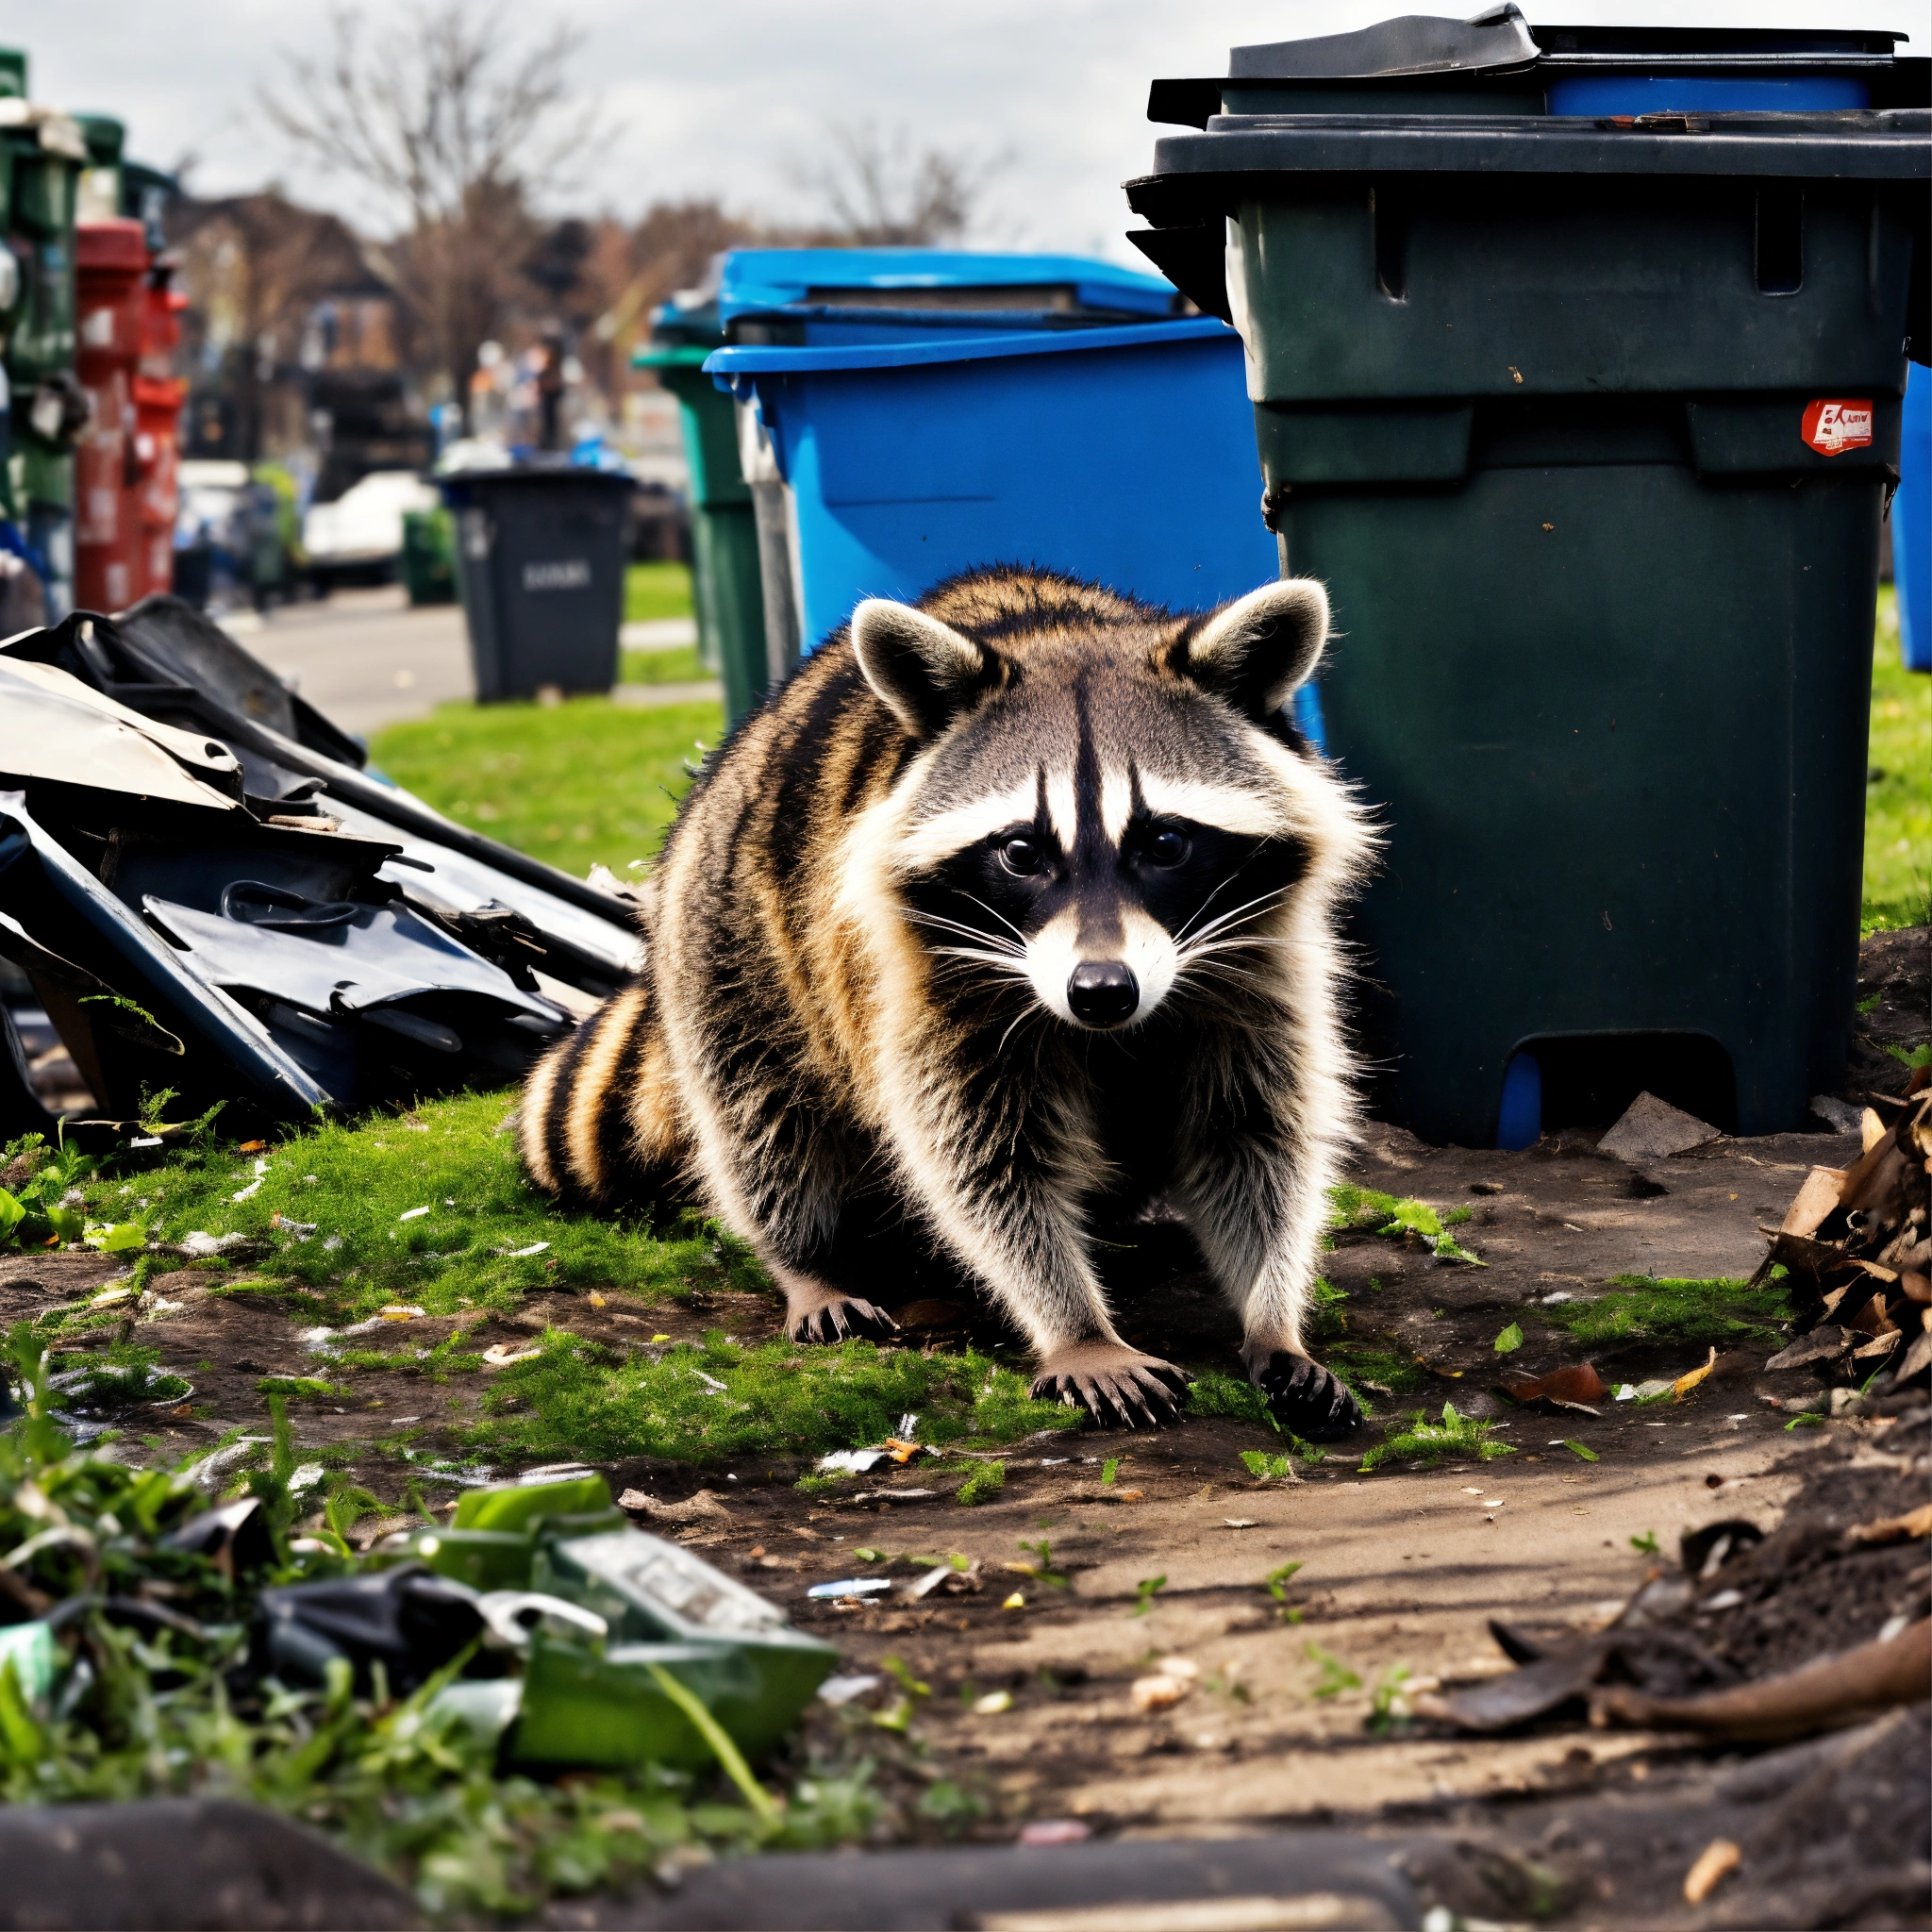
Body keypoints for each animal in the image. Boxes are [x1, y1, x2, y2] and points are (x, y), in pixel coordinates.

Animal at [521, 566, 1375, 1434]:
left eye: (1165, 844)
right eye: (1023, 853)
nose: (1101, 991)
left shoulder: (1258, 962)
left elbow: (1252, 1134)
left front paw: (1272, 1314)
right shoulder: (918, 976)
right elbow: (983, 1158)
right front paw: (1075, 1326)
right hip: (728, 938)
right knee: (759, 1116)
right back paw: (806, 1259)